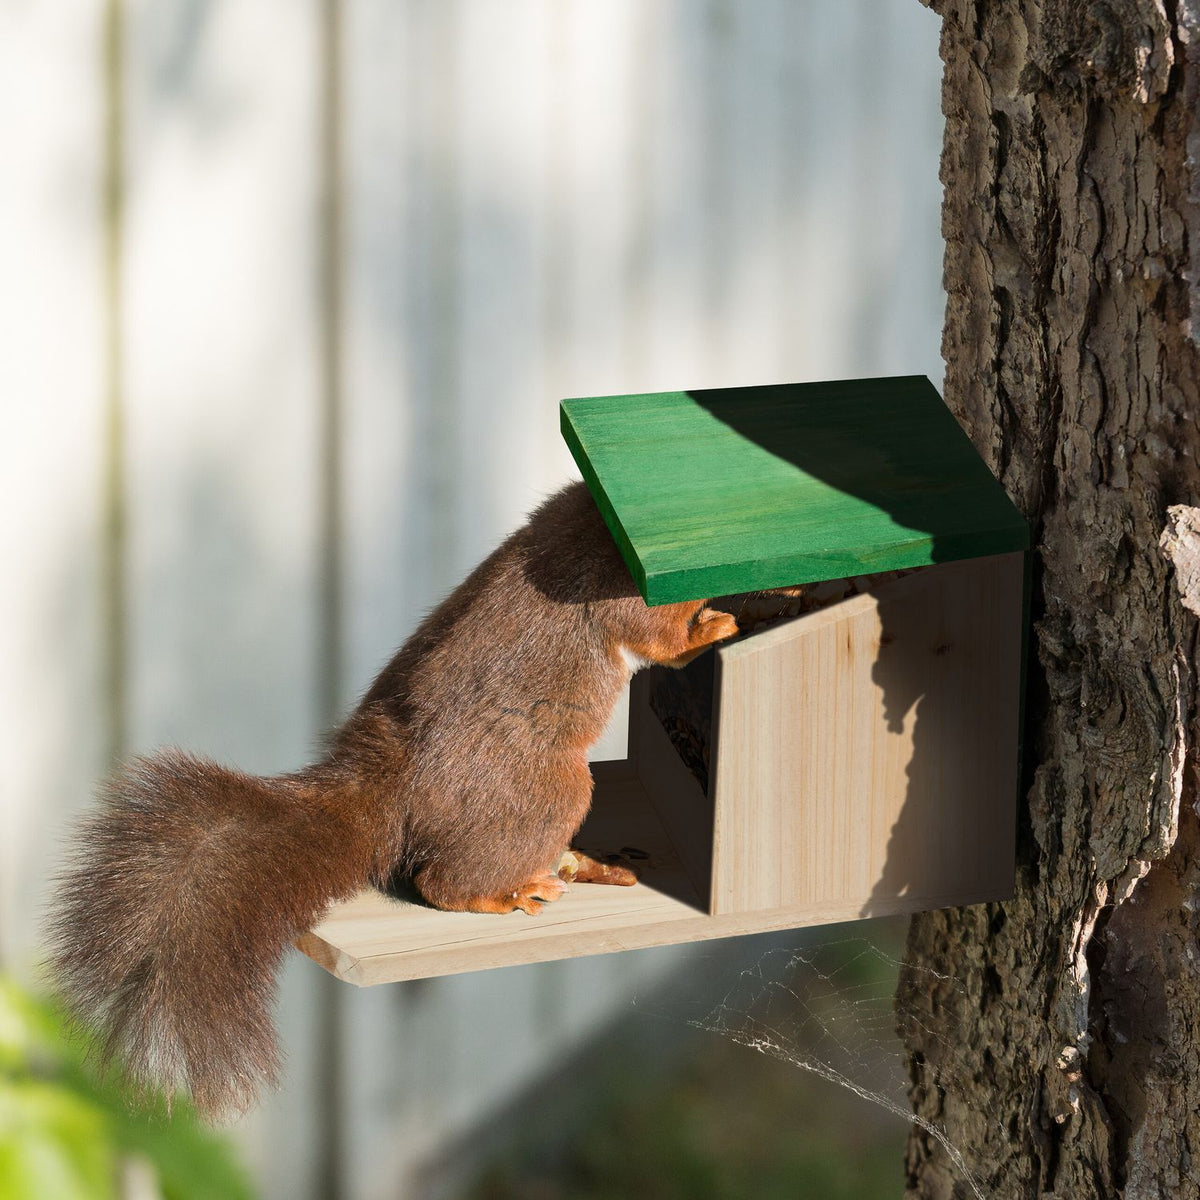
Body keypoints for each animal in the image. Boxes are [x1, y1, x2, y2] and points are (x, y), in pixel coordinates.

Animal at [46, 480, 739, 1120]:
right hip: (550, 788)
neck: (601, 524)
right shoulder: (613, 593)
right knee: (442, 882)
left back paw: (578, 864)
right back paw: (506, 892)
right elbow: (662, 638)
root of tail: (397, 793)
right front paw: (719, 621)